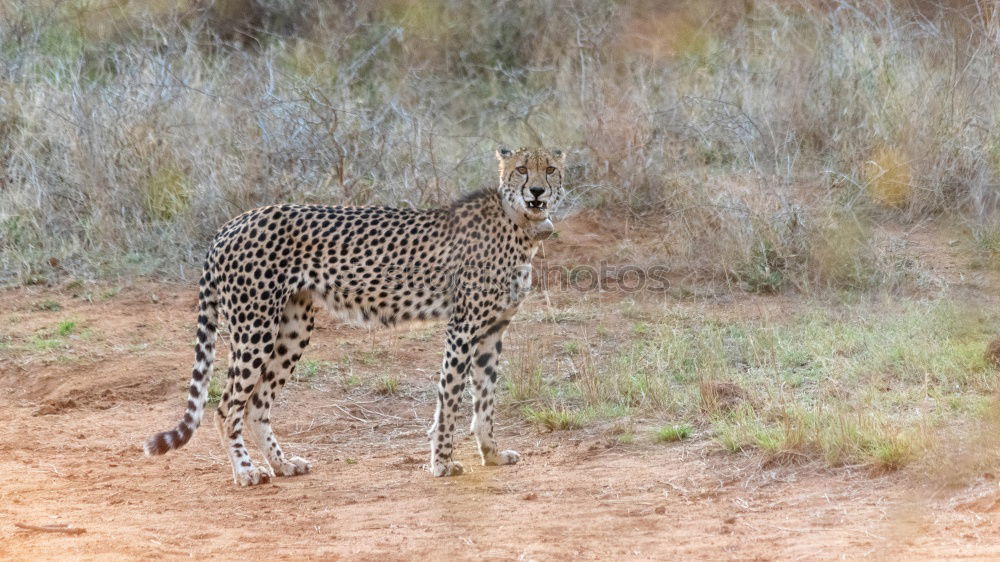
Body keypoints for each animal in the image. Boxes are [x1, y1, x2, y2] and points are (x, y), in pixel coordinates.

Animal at [142, 147, 568, 484]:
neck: (518, 223)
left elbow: (485, 398)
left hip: (292, 328)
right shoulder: (463, 327)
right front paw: (442, 462)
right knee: (227, 405)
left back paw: (283, 464)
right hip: (255, 327)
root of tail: (231, 224)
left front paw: (491, 453)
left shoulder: (493, 330)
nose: (537, 192)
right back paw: (246, 471)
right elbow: (450, 395)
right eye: (521, 169)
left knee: (257, 403)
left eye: (549, 169)